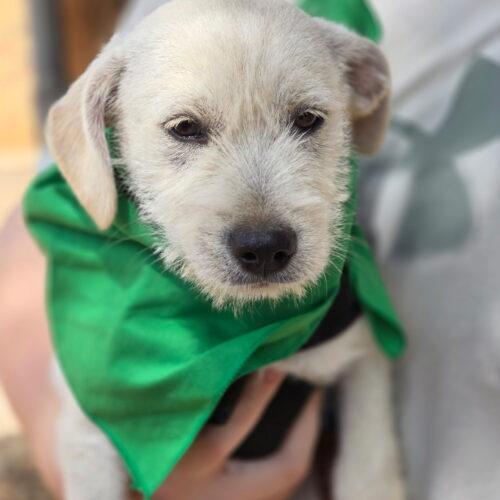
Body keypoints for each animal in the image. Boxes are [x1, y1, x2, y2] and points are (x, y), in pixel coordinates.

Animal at [44, 0, 405, 498]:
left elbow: (368, 469)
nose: (266, 247)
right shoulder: (88, 423)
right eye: (184, 128)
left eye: (309, 120)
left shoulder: (362, 357)